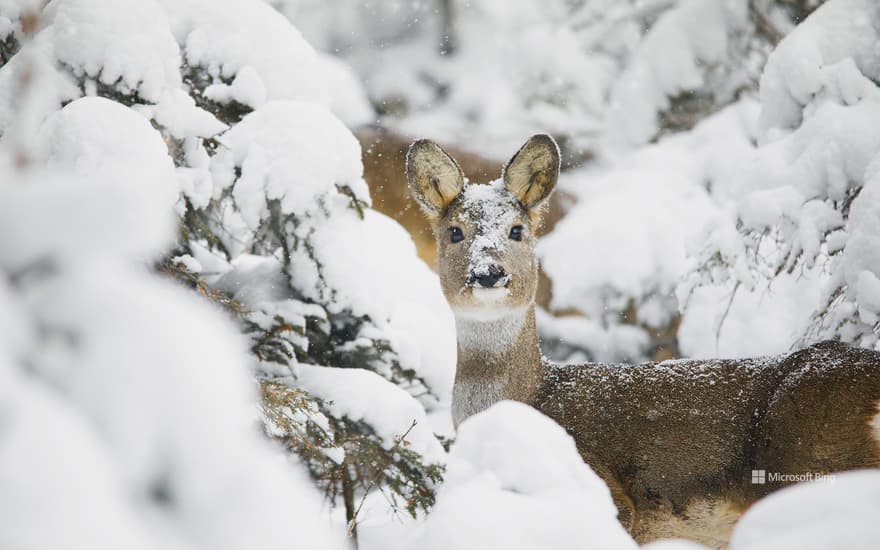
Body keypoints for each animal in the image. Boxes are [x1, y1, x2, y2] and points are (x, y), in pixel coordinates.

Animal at [410, 133, 880, 548]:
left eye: (516, 230)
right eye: (455, 232)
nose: (488, 273)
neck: (528, 398)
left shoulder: (609, 497)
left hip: (814, 461)